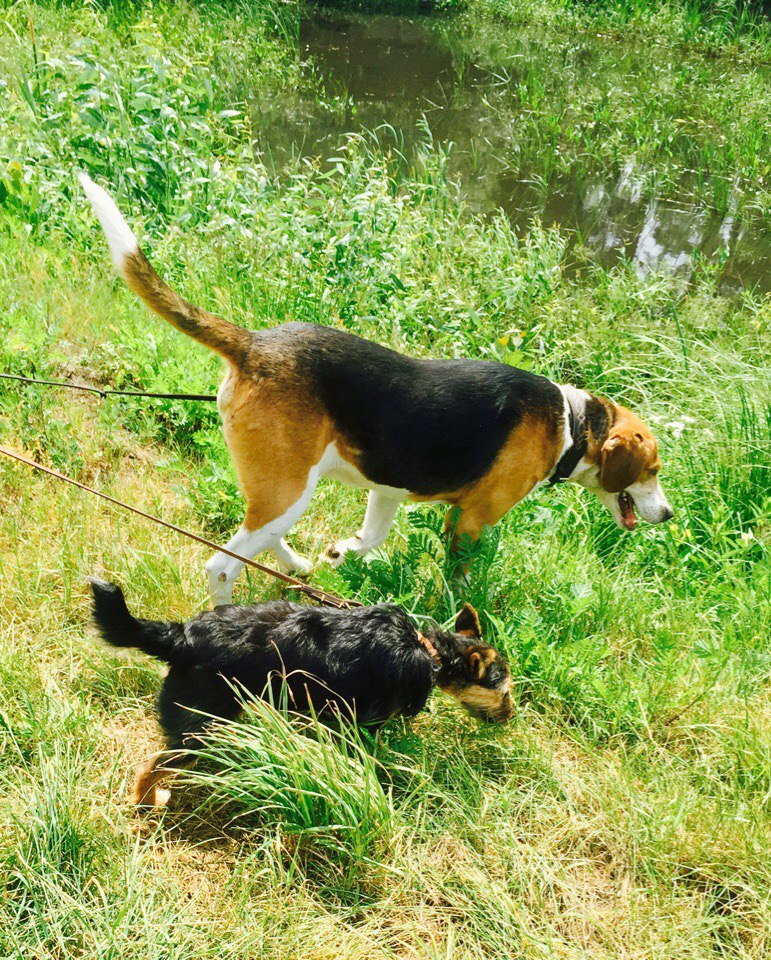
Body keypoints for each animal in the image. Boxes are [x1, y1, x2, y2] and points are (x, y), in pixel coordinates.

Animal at [77, 174, 668, 600]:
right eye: (654, 471)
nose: (666, 517)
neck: (571, 422)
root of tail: (254, 344)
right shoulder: (471, 520)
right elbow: (460, 581)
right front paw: (461, 613)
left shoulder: (388, 490)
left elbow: (372, 537)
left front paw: (342, 552)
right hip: (291, 488)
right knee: (222, 566)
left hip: (282, 490)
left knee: (257, 538)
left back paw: (297, 564)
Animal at [89, 580, 512, 808]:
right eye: (507, 694)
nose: (511, 718)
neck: (429, 649)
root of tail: (183, 638)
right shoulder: (357, 724)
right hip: (201, 725)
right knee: (154, 765)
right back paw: (148, 800)